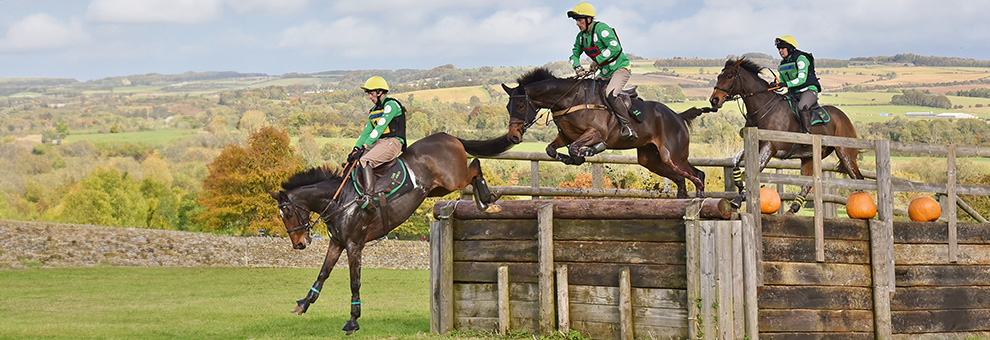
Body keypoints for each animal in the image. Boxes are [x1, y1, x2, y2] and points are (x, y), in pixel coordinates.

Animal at [272, 132, 516, 334]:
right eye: (283, 215)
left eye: (288, 212)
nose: (298, 244)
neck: (340, 199)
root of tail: (448, 136)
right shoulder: (337, 243)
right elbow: (323, 273)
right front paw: (303, 304)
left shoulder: (354, 245)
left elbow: (354, 282)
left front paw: (352, 322)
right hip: (438, 189)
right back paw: (485, 201)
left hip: (452, 179)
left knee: (474, 166)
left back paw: (487, 201)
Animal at [504, 67, 712, 198]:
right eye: (508, 107)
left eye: (520, 105)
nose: (513, 136)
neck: (570, 99)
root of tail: (677, 116)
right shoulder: (566, 136)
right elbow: (552, 149)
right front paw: (572, 159)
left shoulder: (596, 133)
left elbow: (576, 147)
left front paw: (587, 152)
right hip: (650, 159)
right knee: (680, 179)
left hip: (673, 156)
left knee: (698, 174)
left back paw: (700, 196)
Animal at [708, 58, 864, 212]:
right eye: (719, 76)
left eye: (729, 76)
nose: (714, 100)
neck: (763, 108)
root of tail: (845, 118)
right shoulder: (754, 145)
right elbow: (735, 162)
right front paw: (740, 186)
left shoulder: (769, 147)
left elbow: (756, 169)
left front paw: (738, 199)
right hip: (809, 157)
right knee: (808, 183)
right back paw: (793, 208)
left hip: (845, 154)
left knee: (859, 179)